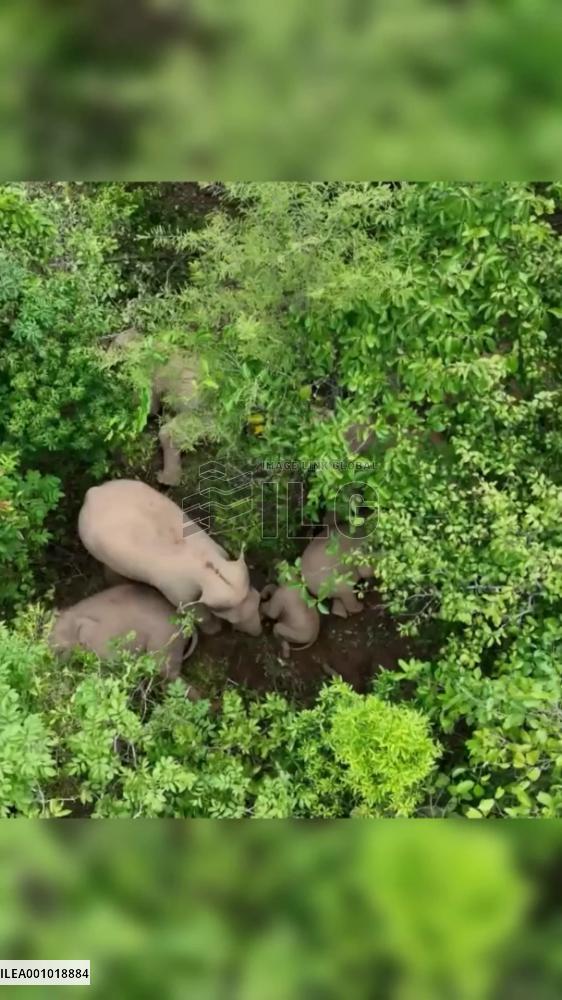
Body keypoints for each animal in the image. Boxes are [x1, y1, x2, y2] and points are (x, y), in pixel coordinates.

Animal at [78, 479, 262, 636]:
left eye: (259, 600)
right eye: (232, 620)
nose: (258, 633)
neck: (210, 568)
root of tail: (93, 493)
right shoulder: (181, 595)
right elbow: (198, 614)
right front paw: (214, 629)